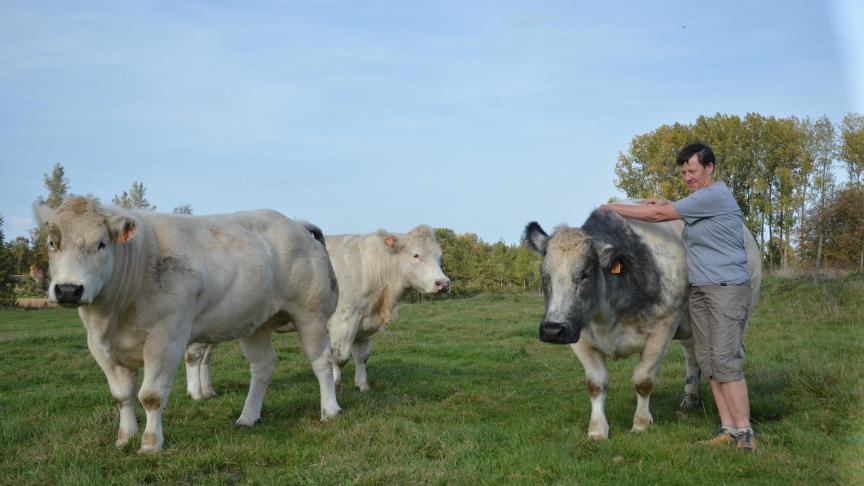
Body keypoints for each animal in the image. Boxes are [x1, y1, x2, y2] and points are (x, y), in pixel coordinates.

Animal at [36, 196, 340, 454]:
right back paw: (248, 416)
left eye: (101, 244)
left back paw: (330, 411)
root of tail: (295, 224)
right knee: (263, 366)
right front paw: (125, 437)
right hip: (256, 323)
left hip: (310, 314)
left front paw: (150, 443)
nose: (68, 289)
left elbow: (151, 396)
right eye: (52, 244)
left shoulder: (166, 339)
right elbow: (122, 395)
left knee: (322, 361)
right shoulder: (99, 346)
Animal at [186, 226, 448, 396]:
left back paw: (208, 390)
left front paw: (362, 386)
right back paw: (195, 393)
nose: (443, 283)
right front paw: (336, 384)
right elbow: (339, 357)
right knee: (193, 354)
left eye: (439, 255)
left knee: (206, 356)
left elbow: (362, 357)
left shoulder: (364, 324)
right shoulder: (343, 320)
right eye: (416, 255)